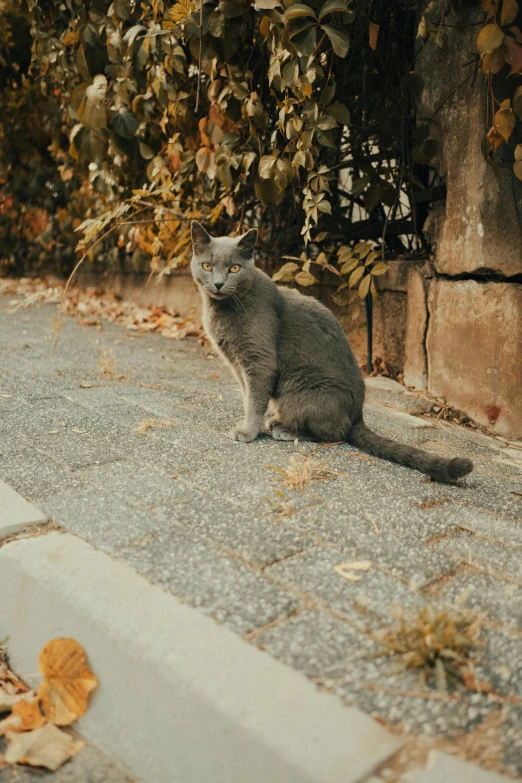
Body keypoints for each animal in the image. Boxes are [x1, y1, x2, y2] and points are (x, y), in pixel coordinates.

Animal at [190, 220, 472, 486]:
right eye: (207, 266)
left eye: (234, 269)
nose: (218, 283)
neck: (223, 309)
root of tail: (358, 415)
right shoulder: (238, 364)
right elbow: (249, 396)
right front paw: (251, 423)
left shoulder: (259, 362)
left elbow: (255, 399)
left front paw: (248, 431)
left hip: (300, 390)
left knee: (335, 433)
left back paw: (285, 429)